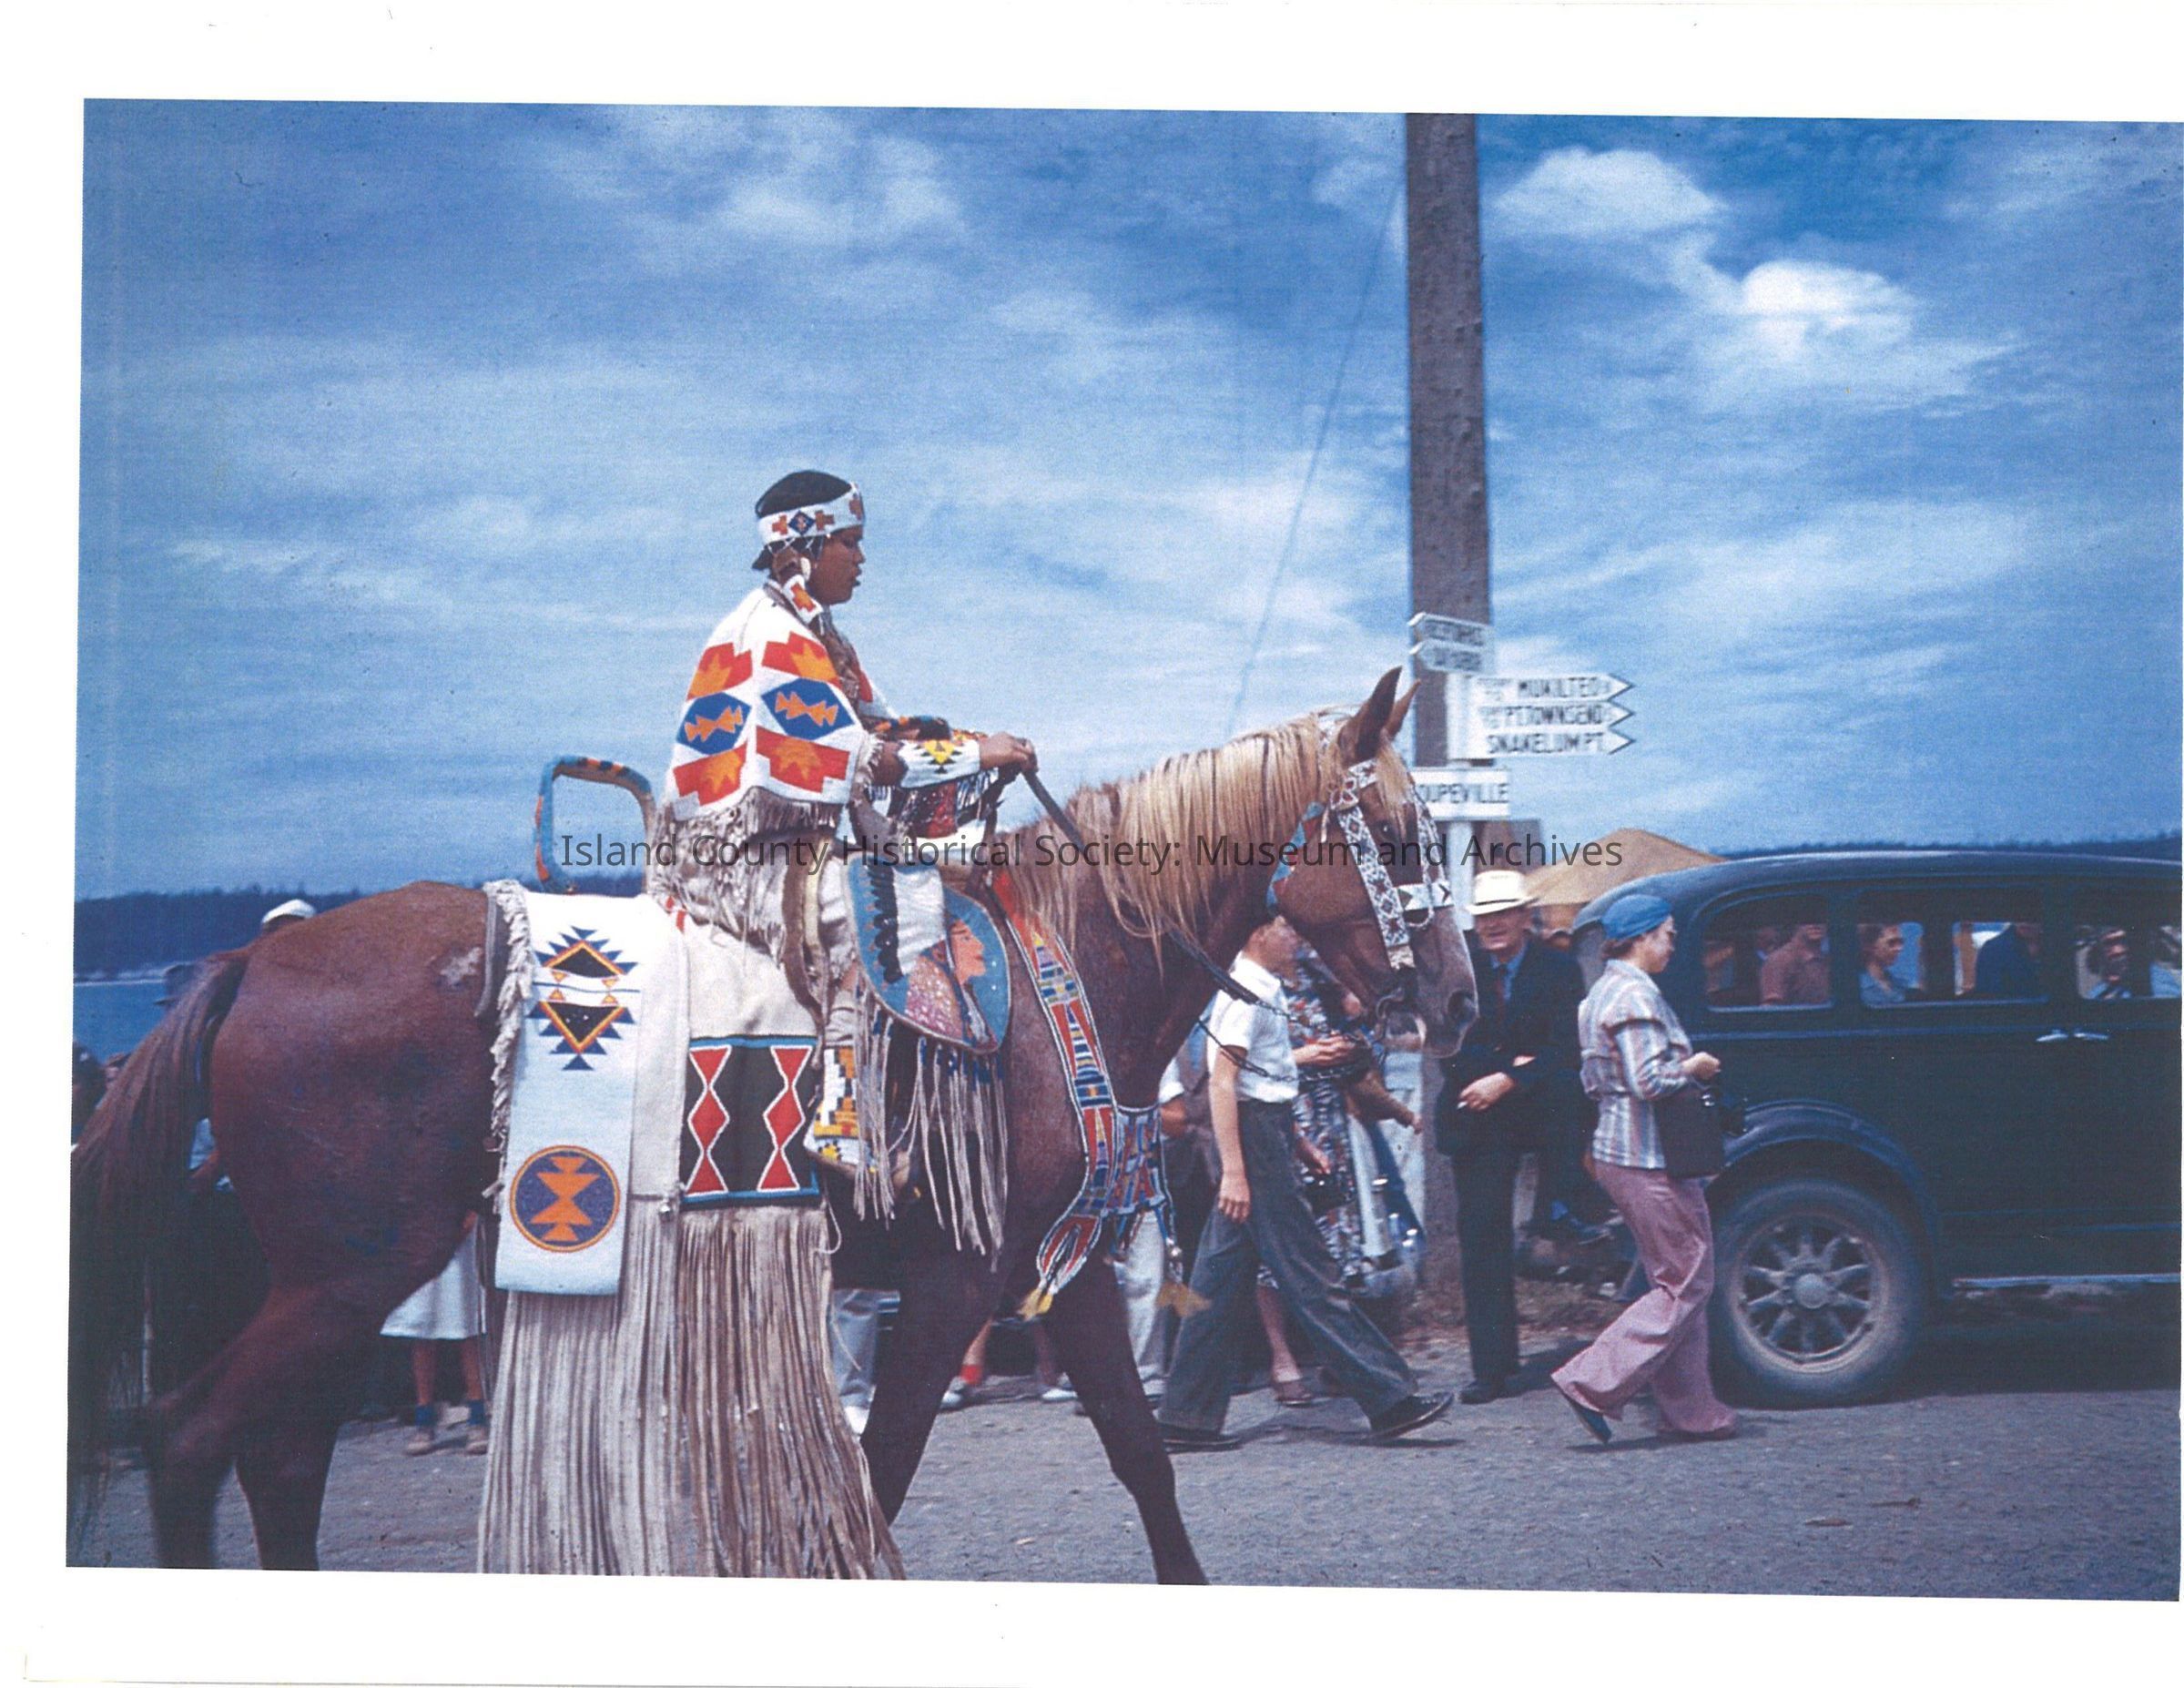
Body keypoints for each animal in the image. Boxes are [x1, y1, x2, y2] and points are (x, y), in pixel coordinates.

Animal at [69, 669, 1475, 1579]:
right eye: (1399, 832)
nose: (1455, 1001)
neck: (1070, 970)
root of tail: (252, 964)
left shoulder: (1059, 1269)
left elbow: (1141, 1459)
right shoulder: (953, 1281)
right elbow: (887, 1468)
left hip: (331, 1281)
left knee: (278, 1458)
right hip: (348, 1274)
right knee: (194, 1440)